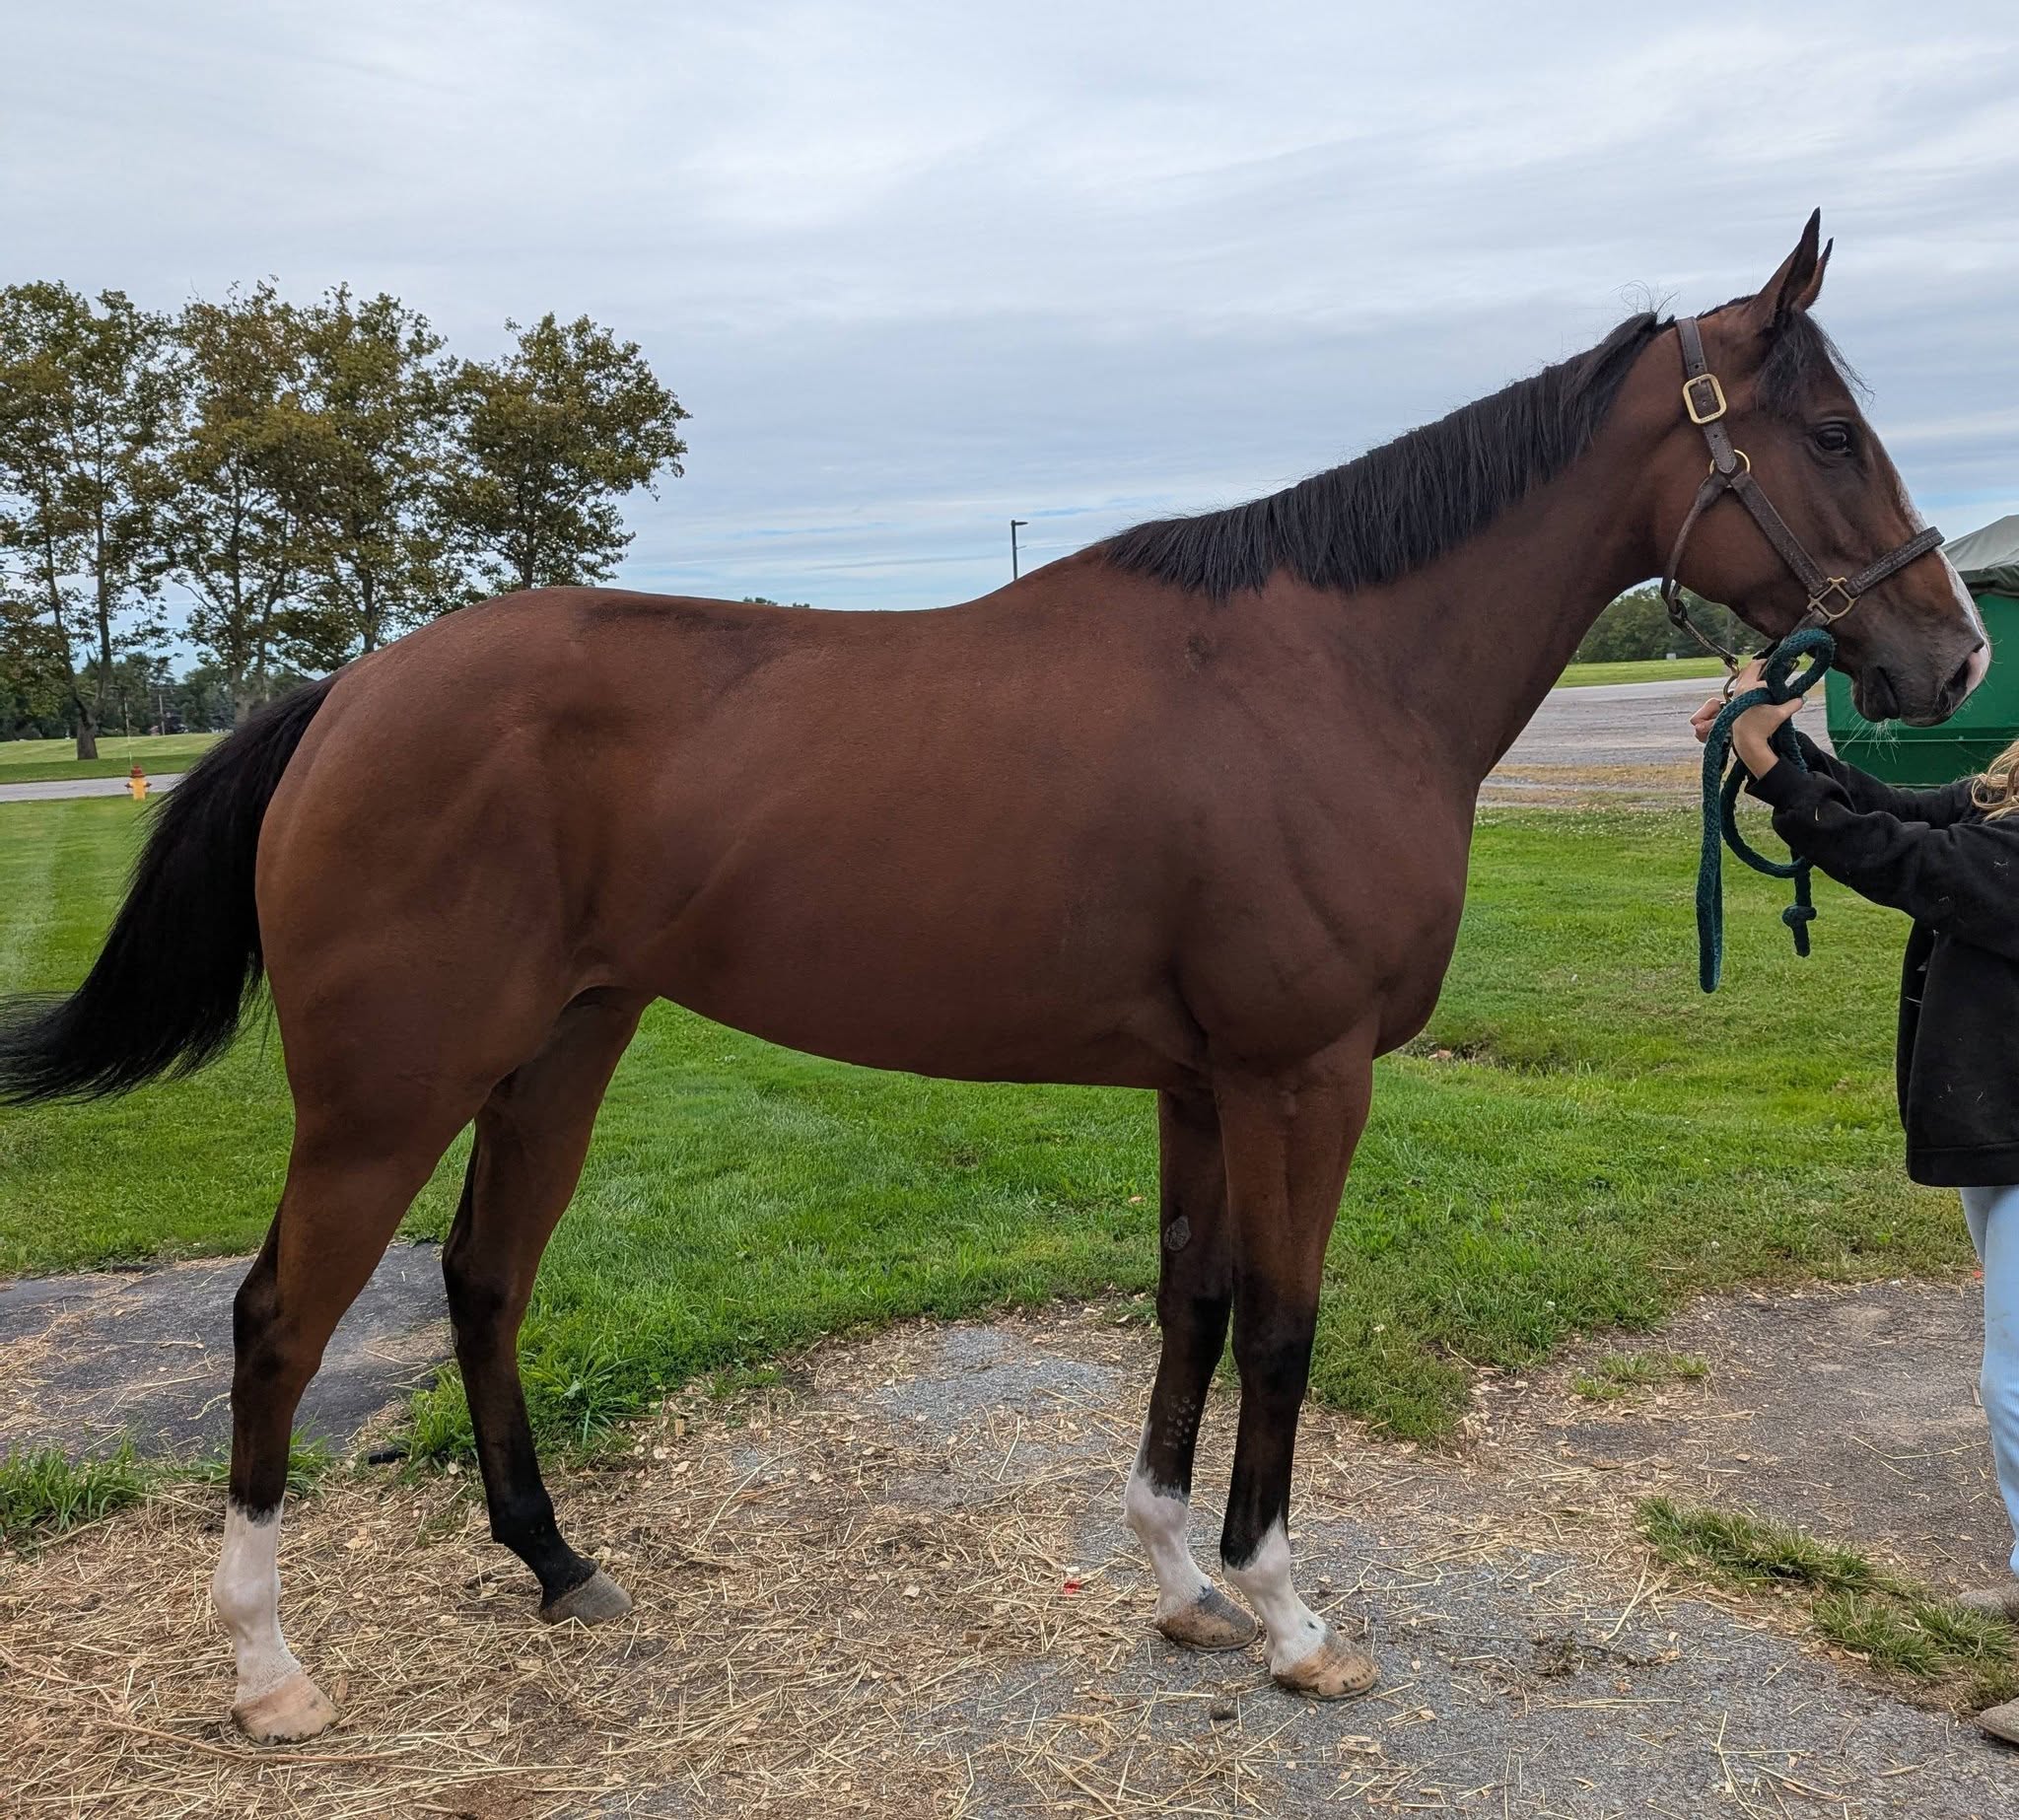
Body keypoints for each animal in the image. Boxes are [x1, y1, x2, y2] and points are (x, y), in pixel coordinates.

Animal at [0, 213, 1987, 1742]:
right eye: (1825, 431)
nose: (1948, 652)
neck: (1334, 672)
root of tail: (350, 689)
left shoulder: (1203, 1083)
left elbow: (1190, 1304)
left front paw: (1181, 1581)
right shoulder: (1305, 1074)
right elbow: (1284, 1322)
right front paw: (1289, 1616)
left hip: (558, 1050)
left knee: (483, 1282)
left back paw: (559, 1563)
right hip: (384, 1090)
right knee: (279, 1323)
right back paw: (268, 1672)